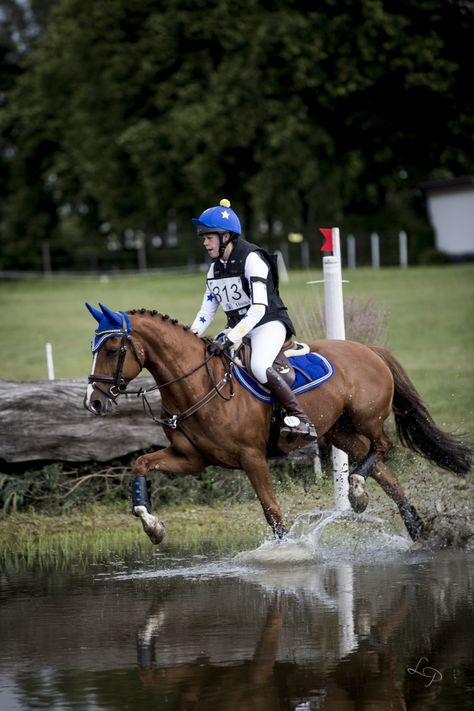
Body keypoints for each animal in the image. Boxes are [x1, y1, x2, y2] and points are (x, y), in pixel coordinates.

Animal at [84, 304, 470, 548]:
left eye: (113, 348)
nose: (93, 402)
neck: (197, 385)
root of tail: (369, 349)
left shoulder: (252, 457)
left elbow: (272, 510)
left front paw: (287, 553)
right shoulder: (191, 459)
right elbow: (140, 464)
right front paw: (152, 526)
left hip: (366, 418)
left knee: (383, 447)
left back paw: (359, 491)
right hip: (339, 431)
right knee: (386, 474)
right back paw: (415, 530)